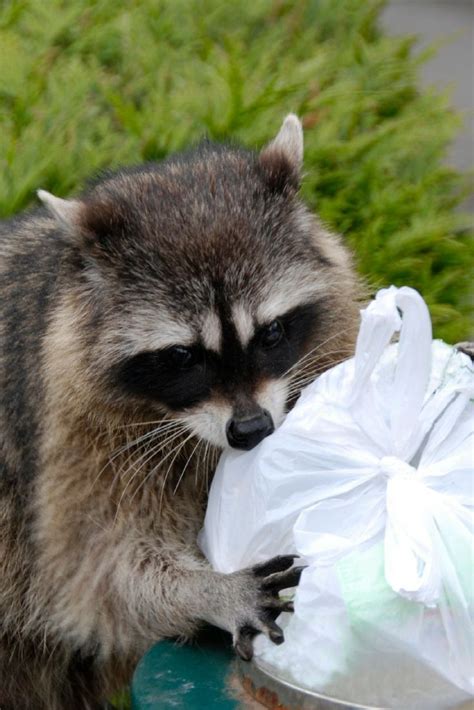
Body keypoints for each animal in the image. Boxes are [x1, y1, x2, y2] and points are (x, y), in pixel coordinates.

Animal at [0, 115, 361, 709]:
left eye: (272, 333)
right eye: (181, 357)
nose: (251, 430)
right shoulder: (69, 437)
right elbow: (99, 575)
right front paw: (207, 590)